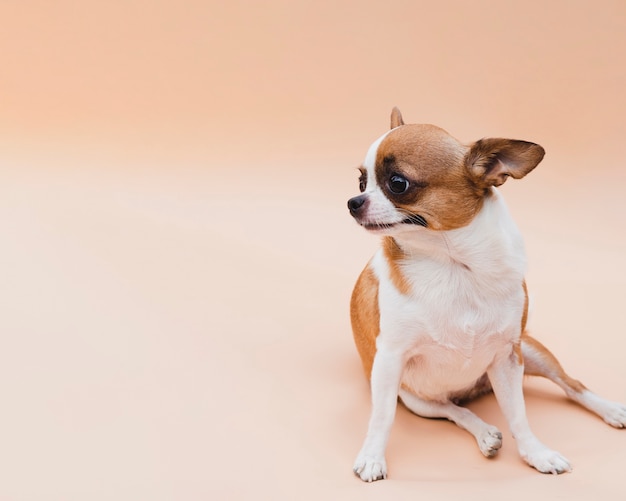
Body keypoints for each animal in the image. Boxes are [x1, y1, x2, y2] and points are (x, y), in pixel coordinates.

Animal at [346, 108, 624, 480]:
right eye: (362, 183)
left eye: (397, 183)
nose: (353, 202)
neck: (454, 265)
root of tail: (473, 390)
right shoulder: (389, 361)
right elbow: (382, 416)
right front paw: (373, 456)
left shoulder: (507, 356)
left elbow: (519, 414)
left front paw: (537, 453)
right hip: (417, 399)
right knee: (452, 410)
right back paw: (484, 433)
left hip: (530, 352)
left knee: (572, 385)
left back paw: (610, 410)